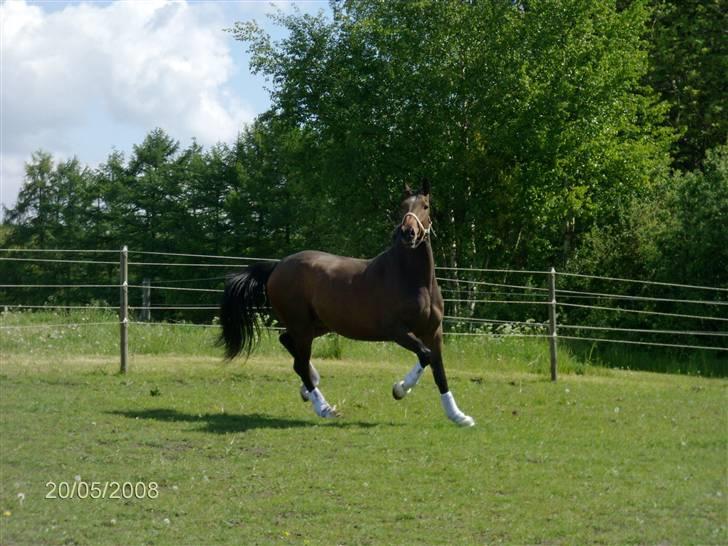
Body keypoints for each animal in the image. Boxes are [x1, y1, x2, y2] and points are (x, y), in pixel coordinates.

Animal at [219, 181, 474, 428]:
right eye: (402, 207)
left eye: (425, 206)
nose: (407, 233)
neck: (413, 280)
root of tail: (277, 266)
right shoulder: (397, 331)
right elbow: (425, 356)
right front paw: (400, 389)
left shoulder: (434, 331)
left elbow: (438, 368)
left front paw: (458, 416)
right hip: (302, 327)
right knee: (299, 363)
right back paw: (325, 408)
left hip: (317, 325)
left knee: (289, 345)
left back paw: (310, 385)